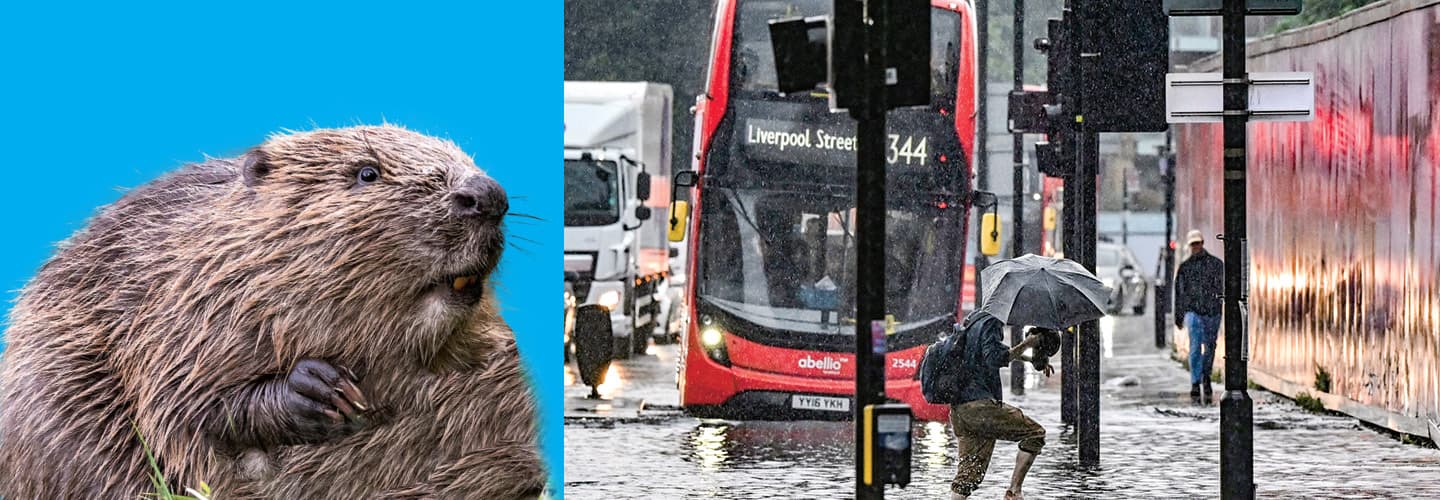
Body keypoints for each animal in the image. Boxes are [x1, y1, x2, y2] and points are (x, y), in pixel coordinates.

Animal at [0, 124, 544, 498]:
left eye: (465, 157)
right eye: (366, 172)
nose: (486, 195)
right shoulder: (171, 311)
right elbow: (183, 404)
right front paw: (321, 390)